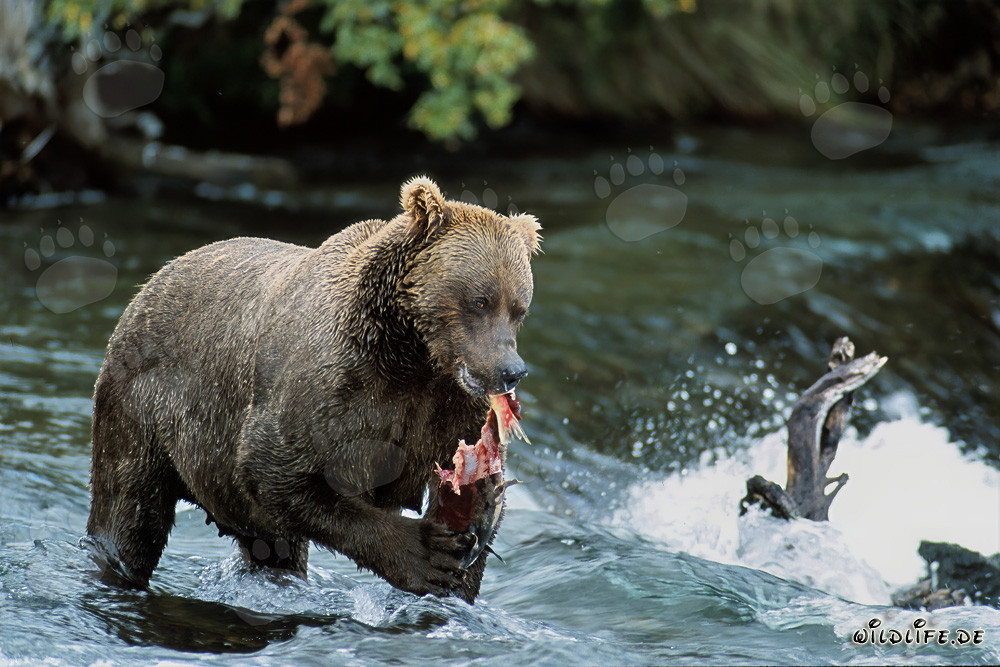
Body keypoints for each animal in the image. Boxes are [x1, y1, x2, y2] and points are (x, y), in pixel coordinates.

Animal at [86, 176, 541, 603]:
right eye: (480, 300)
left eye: (519, 308)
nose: (511, 371)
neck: (411, 356)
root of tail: (150, 284)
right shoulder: (329, 387)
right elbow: (273, 470)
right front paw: (423, 555)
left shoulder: (449, 405)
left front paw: (475, 522)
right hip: (143, 405)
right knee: (129, 511)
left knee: (273, 548)